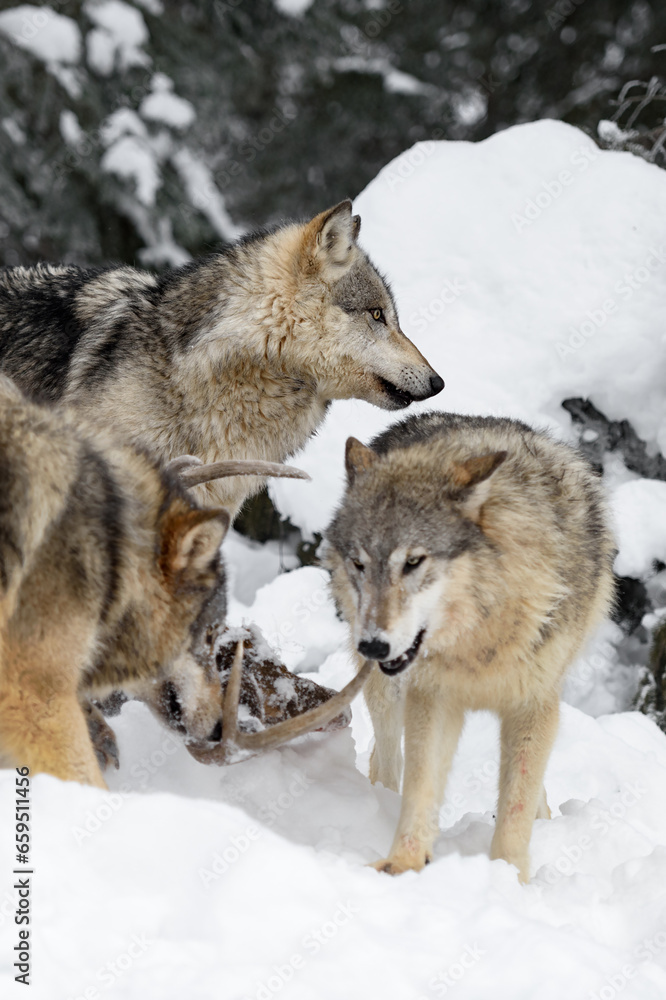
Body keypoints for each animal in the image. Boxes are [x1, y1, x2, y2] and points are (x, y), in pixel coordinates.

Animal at [326, 410, 612, 880]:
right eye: (359, 563)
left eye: (414, 561)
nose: (373, 646)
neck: (479, 638)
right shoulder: (432, 697)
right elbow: (420, 787)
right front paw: (403, 864)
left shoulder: (533, 704)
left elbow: (516, 805)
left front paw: (508, 879)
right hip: (385, 693)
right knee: (385, 759)